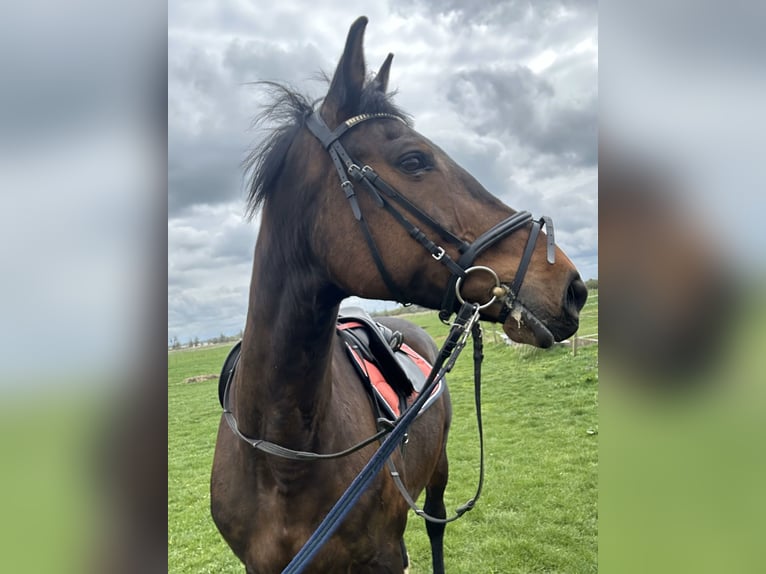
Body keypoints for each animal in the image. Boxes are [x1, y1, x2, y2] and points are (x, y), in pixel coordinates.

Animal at [211, 16, 587, 573]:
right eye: (413, 160)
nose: (573, 288)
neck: (282, 453)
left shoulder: (384, 555)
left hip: (438, 472)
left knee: (435, 526)